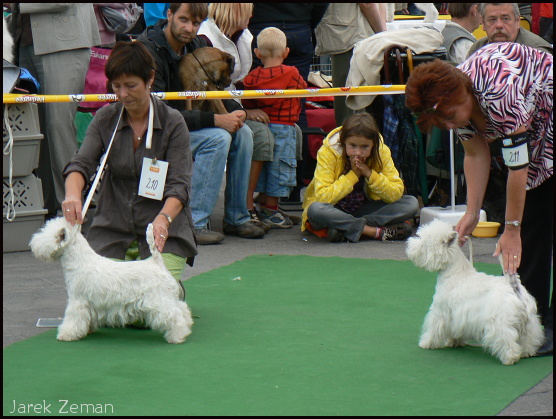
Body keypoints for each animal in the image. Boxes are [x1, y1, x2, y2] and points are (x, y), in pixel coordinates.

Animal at [31, 217, 195, 344]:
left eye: (45, 233)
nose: (33, 243)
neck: (80, 261)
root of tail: (156, 262)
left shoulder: (77, 300)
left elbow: (73, 319)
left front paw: (66, 334)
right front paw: (88, 330)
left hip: (158, 301)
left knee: (174, 316)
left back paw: (177, 336)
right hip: (167, 297)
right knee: (182, 308)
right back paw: (187, 327)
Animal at [404, 220, 544, 364]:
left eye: (424, 244)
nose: (409, 245)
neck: (454, 272)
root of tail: (513, 285)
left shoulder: (440, 311)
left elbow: (433, 328)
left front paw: (426, 343)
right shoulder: (457, 317)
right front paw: (454, 342)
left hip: (500, 322)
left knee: (507, 339)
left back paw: (510, 358)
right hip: (530, 321)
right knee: (530, 338)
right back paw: (526, 352)